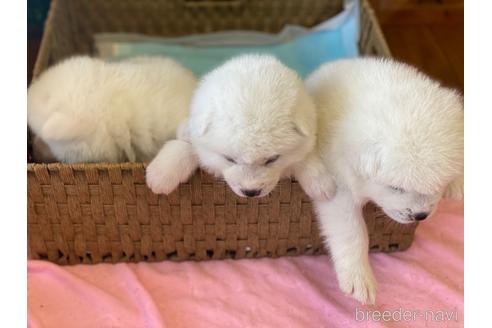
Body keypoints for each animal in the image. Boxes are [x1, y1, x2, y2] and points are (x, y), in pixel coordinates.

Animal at [306, 57, 464, 304]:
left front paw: (457, 182)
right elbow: (352, 230)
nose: (421, 215)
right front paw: (359, 278)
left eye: (437, 185)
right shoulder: (338, 185)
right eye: (396, 187)